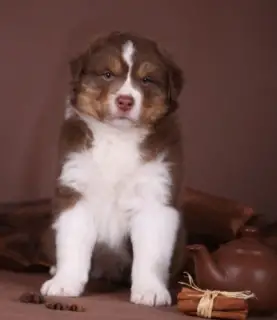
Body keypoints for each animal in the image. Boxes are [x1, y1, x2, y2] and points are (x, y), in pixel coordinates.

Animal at [40, 31, 185, 306]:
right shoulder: (76, 188)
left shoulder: (155, 195)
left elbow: (152, 252)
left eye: (147, 80)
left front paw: (150, 291)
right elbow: (72, 243)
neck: (118, 137)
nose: (125, 101)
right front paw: (64, 283)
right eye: (107, 74)